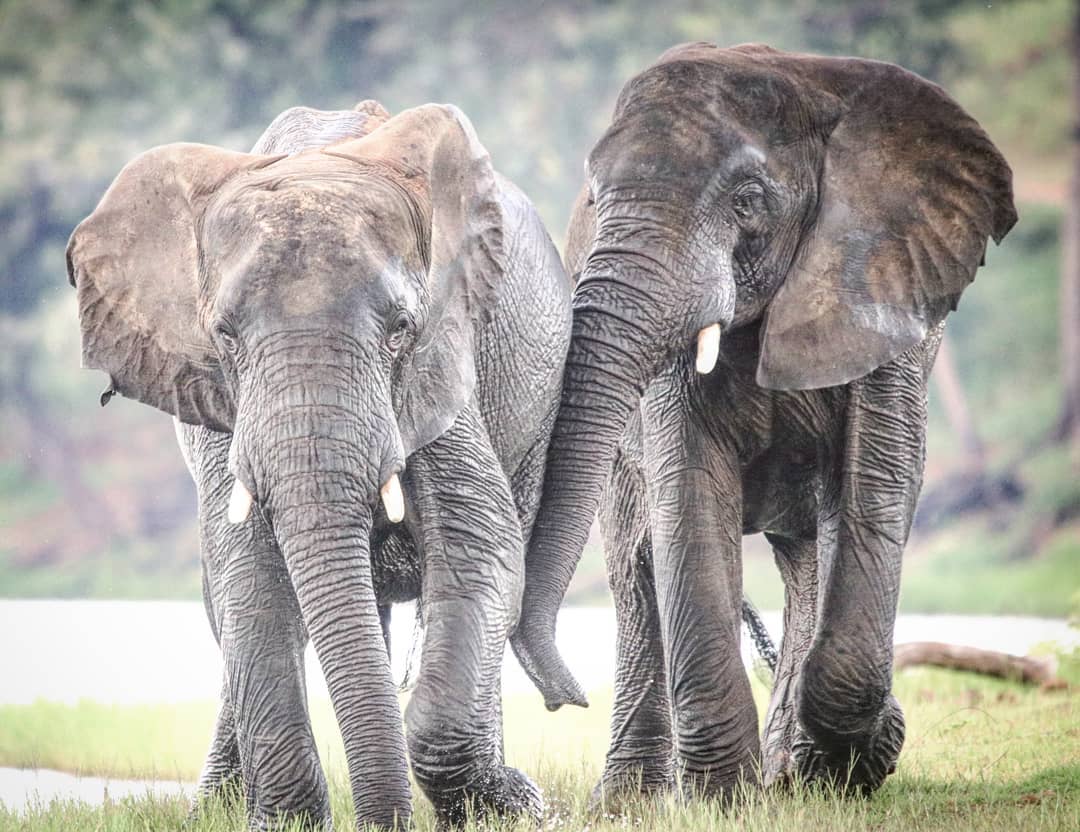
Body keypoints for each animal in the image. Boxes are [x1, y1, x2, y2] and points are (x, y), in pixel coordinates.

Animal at [65, 100, 574, 825]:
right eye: (224, 335)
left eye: (400, 330)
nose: (380, 826)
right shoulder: (220, 401)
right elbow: (248, 574)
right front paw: (287, 823)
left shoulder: (445, 360)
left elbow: (480, 545)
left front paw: (514, 809)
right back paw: (212, 810)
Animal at [509, 42, 1015, 799]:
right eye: (596, 199)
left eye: (747, 203)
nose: (561, 699)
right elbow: (688, 501)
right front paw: (723, 795)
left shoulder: (884, 291)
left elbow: (874, 490)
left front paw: (848, 765)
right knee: (637, 565)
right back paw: (634, 797)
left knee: (809, 556)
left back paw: (793, 768)